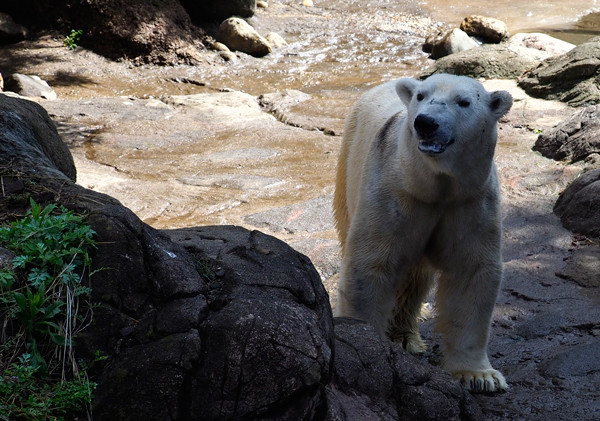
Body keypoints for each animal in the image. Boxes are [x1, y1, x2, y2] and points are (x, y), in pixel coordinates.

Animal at [332, 74, 510, 392]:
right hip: (349, 160)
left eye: (464, 102)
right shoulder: (396, 192)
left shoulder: (471, 200)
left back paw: (406, 336)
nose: (426, 123)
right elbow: (371, 262)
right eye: (421, 96)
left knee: (416, 276)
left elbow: (471, 272)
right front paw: (366, 346)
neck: (433, 185)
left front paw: (480, 376)